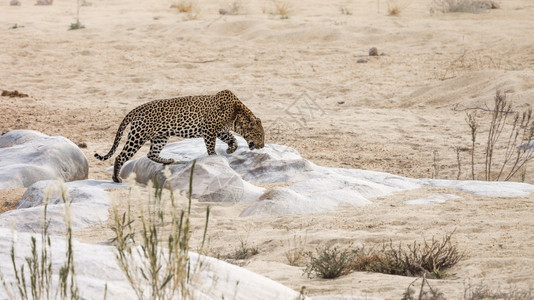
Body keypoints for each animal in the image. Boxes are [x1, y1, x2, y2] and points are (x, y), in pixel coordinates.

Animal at [96, 89, 266, 183]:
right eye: (259, 135)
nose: (262, 145)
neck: (238, 115)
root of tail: (136, 109)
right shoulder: (209, 128)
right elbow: (211, 146)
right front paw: (214, 156)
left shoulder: (221, 130)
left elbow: (233, 139)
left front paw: (231, 149)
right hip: (138, 135)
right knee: (121, 156)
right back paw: (116, 178)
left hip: (161, 136)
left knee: (151, 154)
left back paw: (169, 161)